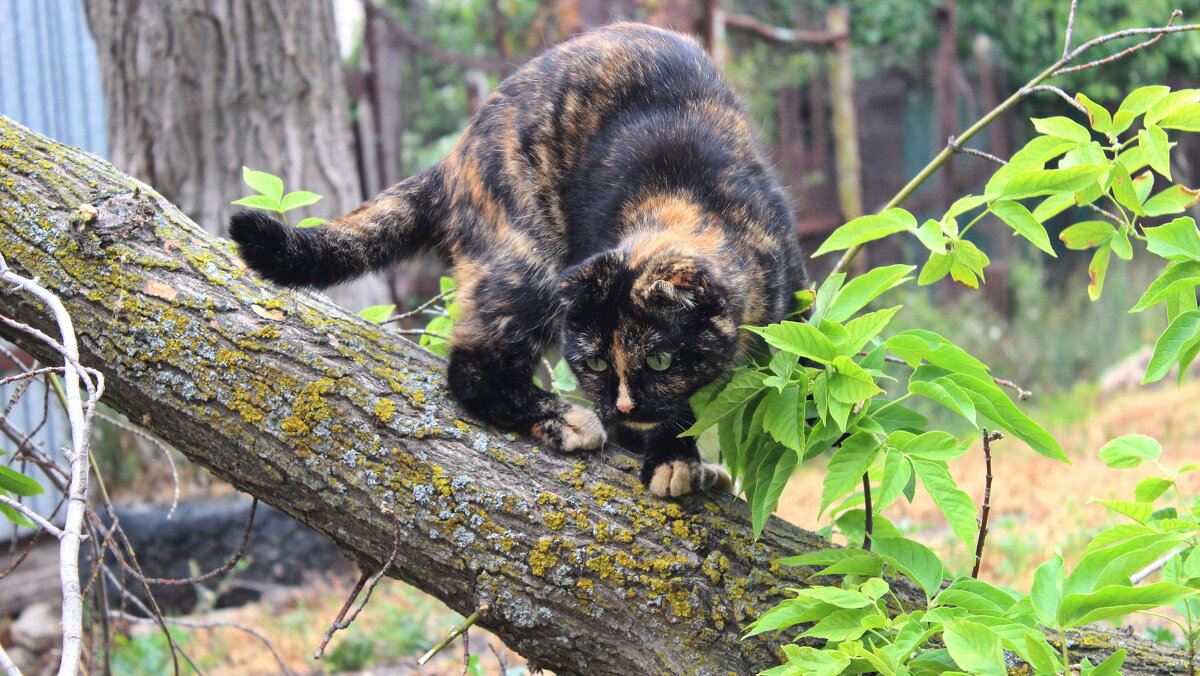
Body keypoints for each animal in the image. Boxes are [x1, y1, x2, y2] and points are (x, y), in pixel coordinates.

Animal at [229, 22, 806, 497]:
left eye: (661, 361)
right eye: (595, 364)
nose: (622, 406)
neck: (685, 202)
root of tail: (454, 157)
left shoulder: (791, 288)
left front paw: (671, 449)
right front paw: (670, 452)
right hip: (529, 262)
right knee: (469, 371)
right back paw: (569, 421)